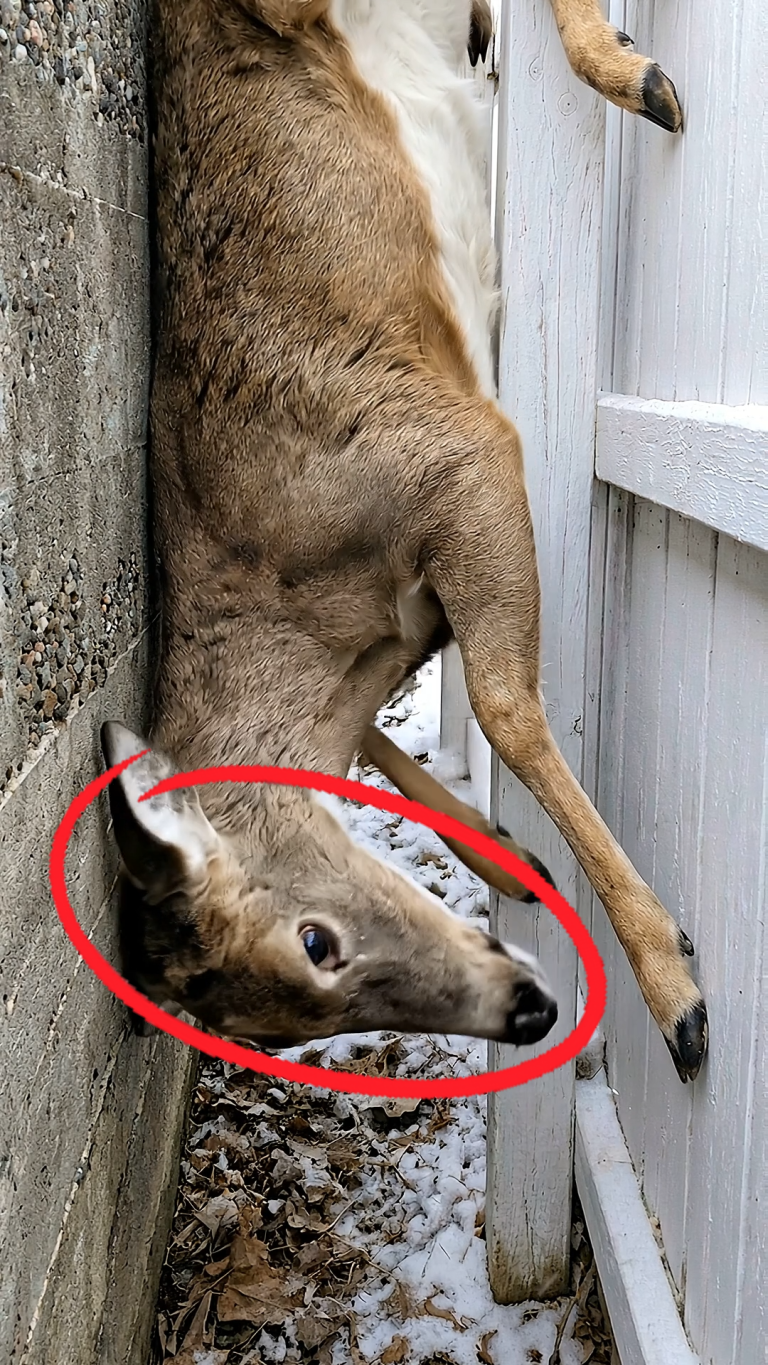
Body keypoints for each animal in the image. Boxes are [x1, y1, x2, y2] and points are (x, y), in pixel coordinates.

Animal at [101, 0, 706, 1082]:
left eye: (313, 940)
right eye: (269, 1029)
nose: (528, 1010)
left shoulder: (460, 451)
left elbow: (505, 707)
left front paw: (676, 990)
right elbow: (404, 742)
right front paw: (516, 865)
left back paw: (635, 76)